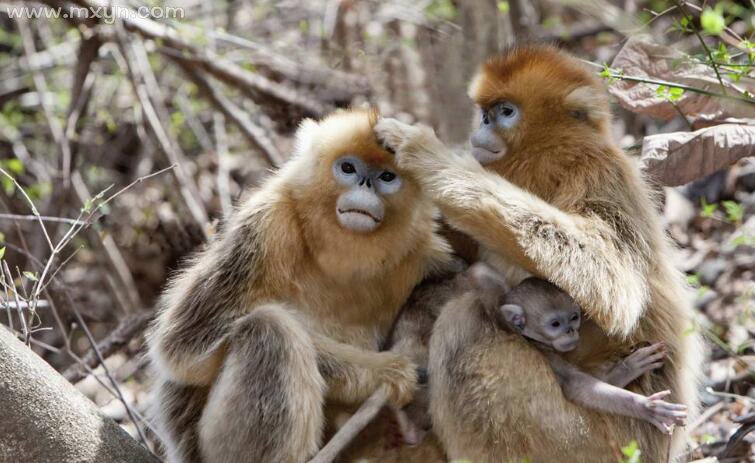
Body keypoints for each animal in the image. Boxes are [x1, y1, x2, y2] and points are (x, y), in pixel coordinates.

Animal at [150, 109, 452, 463]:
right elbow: (183, 350)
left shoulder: (421, 247)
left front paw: (414, 343)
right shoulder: (266, 225)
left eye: (387, 177)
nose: (366, 184)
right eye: (348, 168)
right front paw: (387, 370)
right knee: (270, 329)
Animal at [470, 264, 688, 436]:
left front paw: (631, 366)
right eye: (555, 324)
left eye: (574, 317)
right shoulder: (549, 356)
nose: (571, 331)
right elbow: (577, 386)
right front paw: (647, 407)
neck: (534, 340)